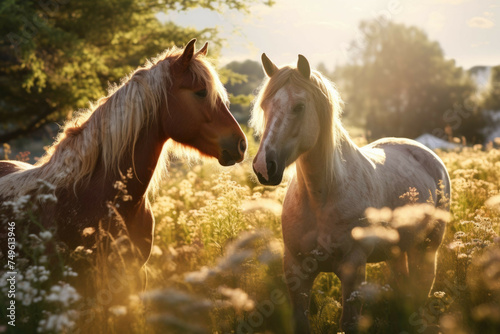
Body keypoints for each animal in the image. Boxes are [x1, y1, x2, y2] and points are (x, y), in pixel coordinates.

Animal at [252, 53, 452, 332]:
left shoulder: (353, 269)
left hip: (425, 248)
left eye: (299, 107)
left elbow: (349, 321)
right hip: (397, 251)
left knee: (421, 289)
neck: (320, 198)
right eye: (264, 106)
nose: (263, 166)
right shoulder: (295, 269)